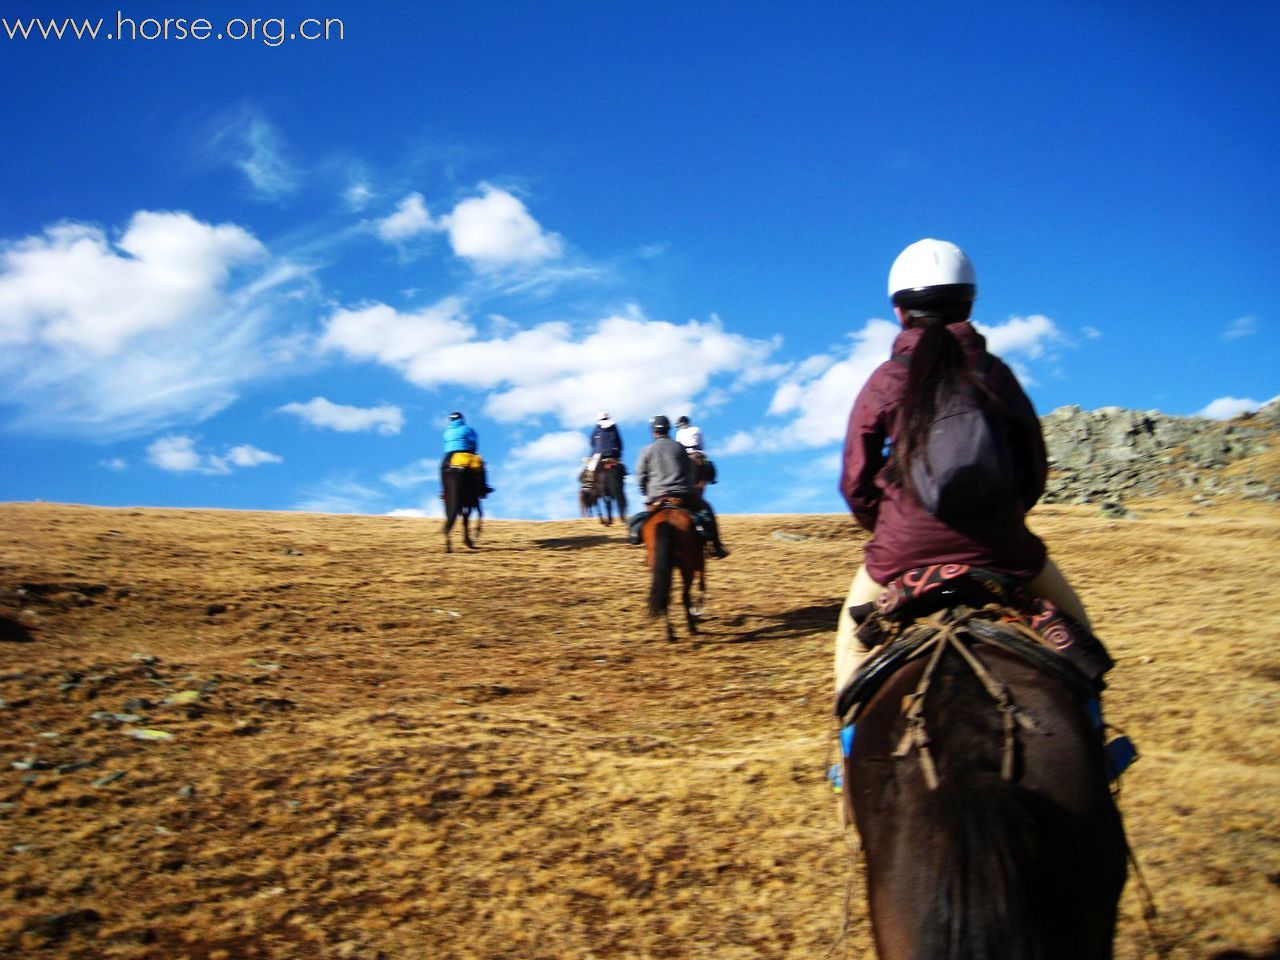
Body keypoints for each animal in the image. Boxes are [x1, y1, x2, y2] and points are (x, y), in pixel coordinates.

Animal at [645, 504, 706, 640]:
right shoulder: (699, 560)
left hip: (662, 568)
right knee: (685, 595)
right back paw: (691, 626)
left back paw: (670, 634)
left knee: (664, 596)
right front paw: (697, 610)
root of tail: (666, 520)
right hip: (687, 566)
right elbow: (702, 584)